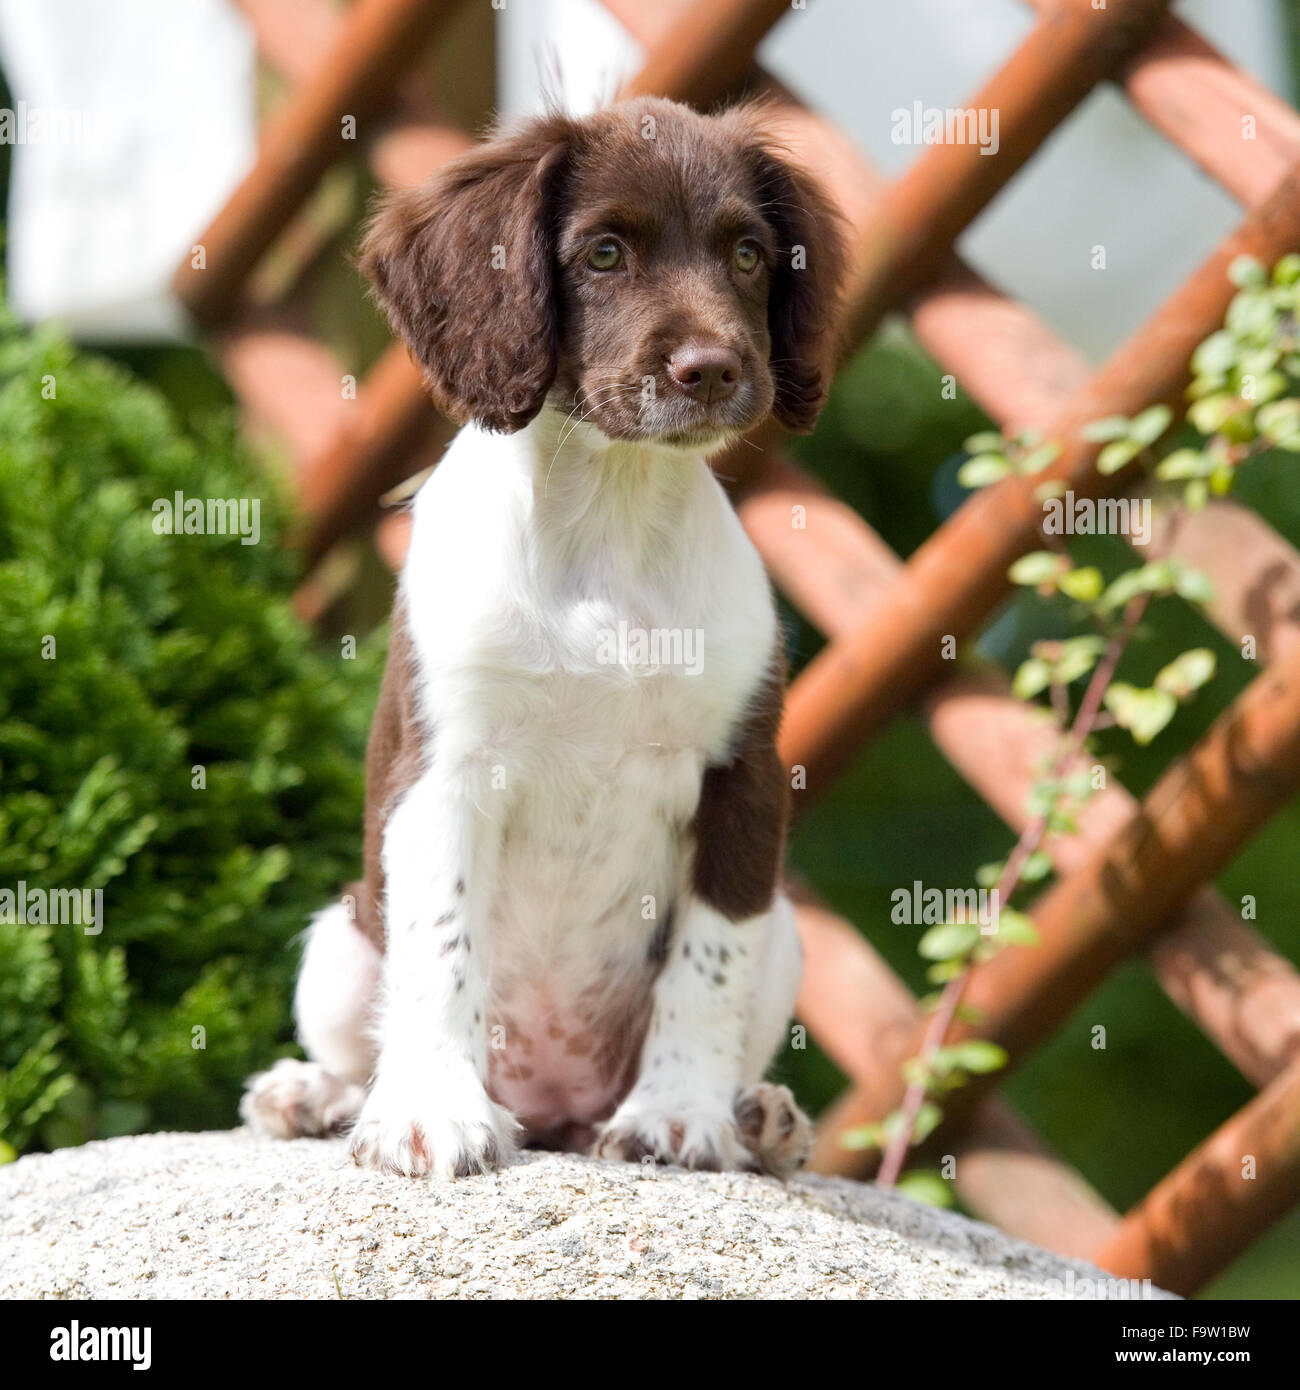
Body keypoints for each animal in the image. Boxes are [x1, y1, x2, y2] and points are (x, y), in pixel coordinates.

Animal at [246, 95, 845, 1173]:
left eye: (748, 254)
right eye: (603, 253)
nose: (713, 369)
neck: (609, 514)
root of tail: (553, 1106)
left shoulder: (744, 776)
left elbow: (707, 962)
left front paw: (680, 1113)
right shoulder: (442, 769)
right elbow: (440, 948)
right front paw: (429, 1112)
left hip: (788, 934)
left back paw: (761, 1118)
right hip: (339, 940)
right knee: (364, 1034)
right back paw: (313, 1095)